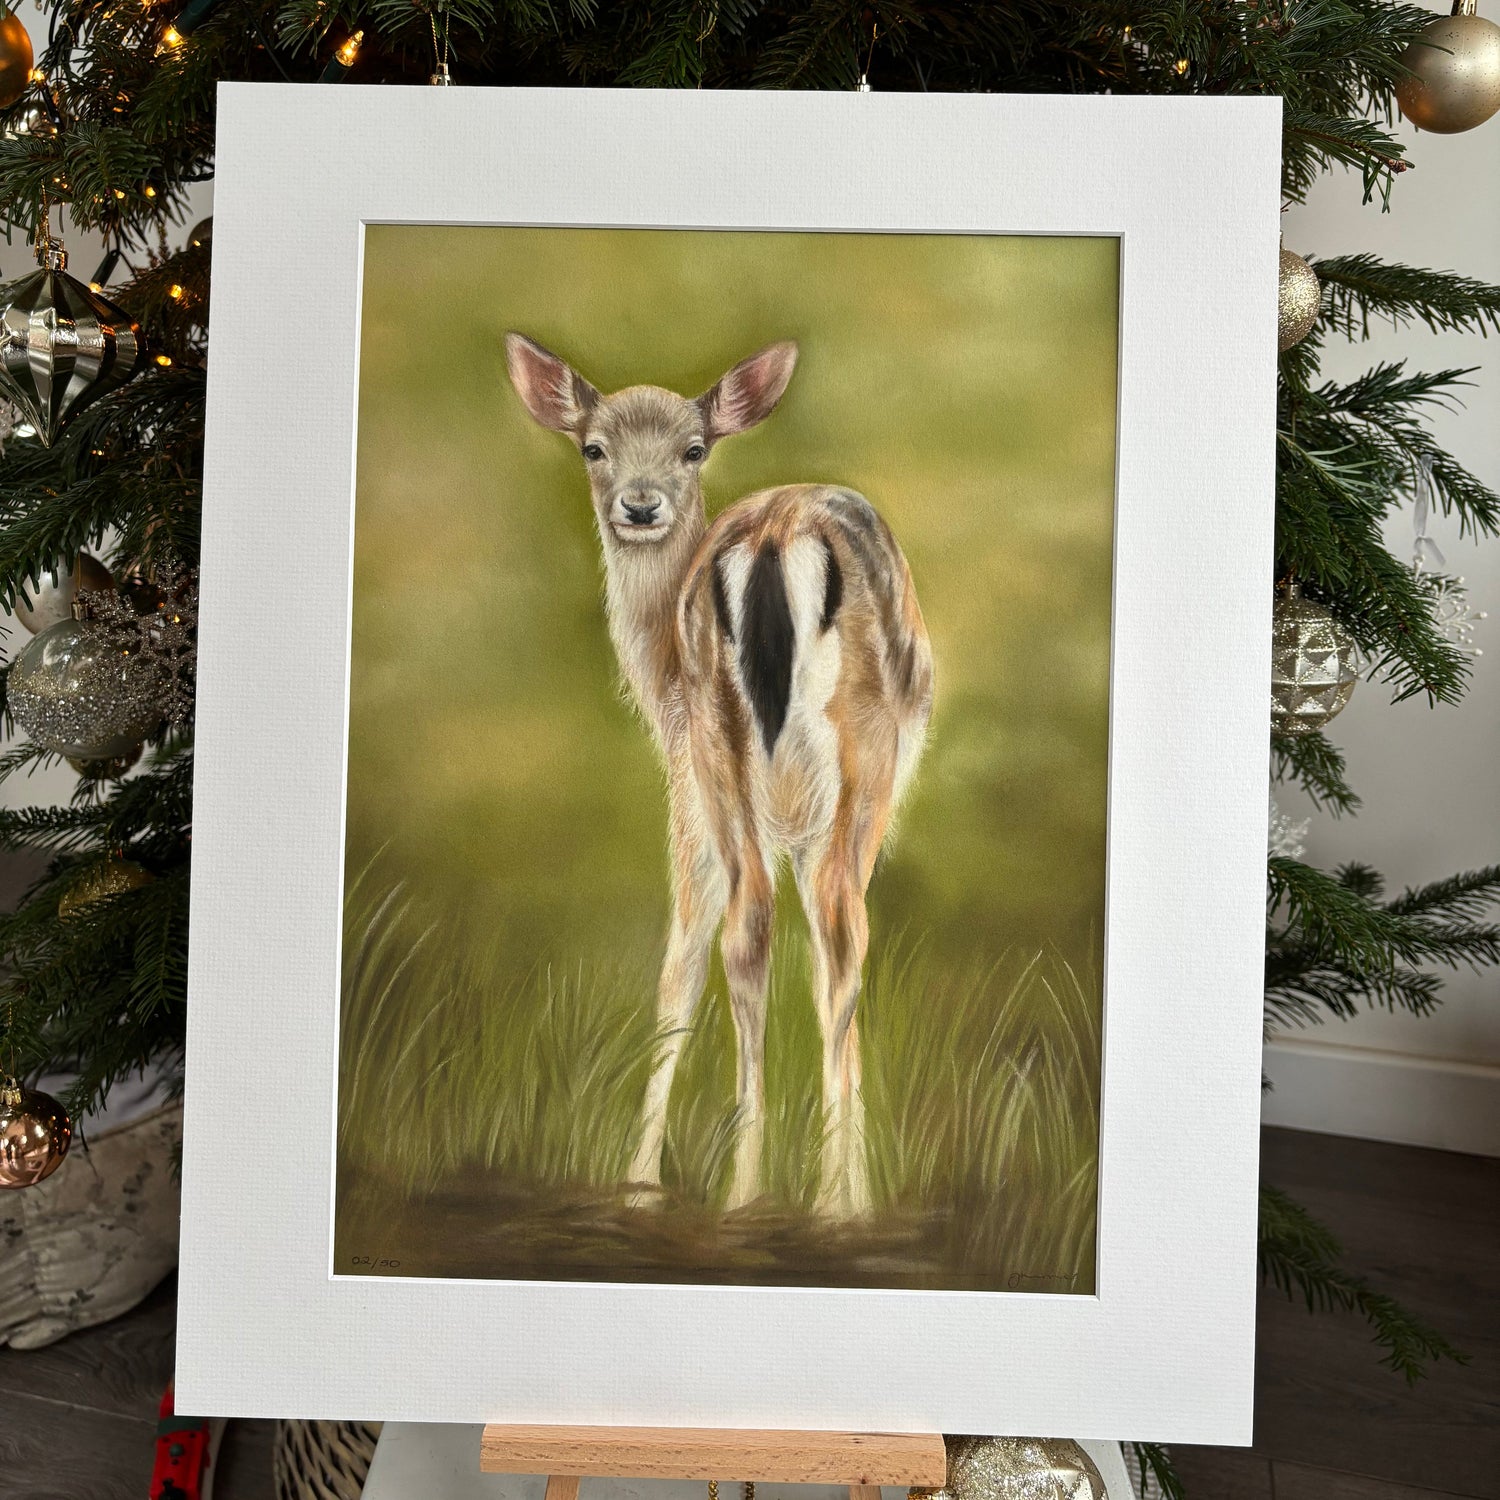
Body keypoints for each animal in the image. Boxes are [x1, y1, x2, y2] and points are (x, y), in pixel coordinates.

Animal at [504, 333, 933, 1217]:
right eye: (593, 447)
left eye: (693, 449)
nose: (639, 506)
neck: (657, 683)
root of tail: (774, 538)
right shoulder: (721, 800)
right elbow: (704, 961)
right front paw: (642, 1182)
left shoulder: (708, 790)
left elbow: (695, 957)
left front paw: (640, 1183)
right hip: (829, 759)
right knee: (821, 928)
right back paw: (802, 1200)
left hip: (734, 745)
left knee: (770, 925)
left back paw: (763, 1192)